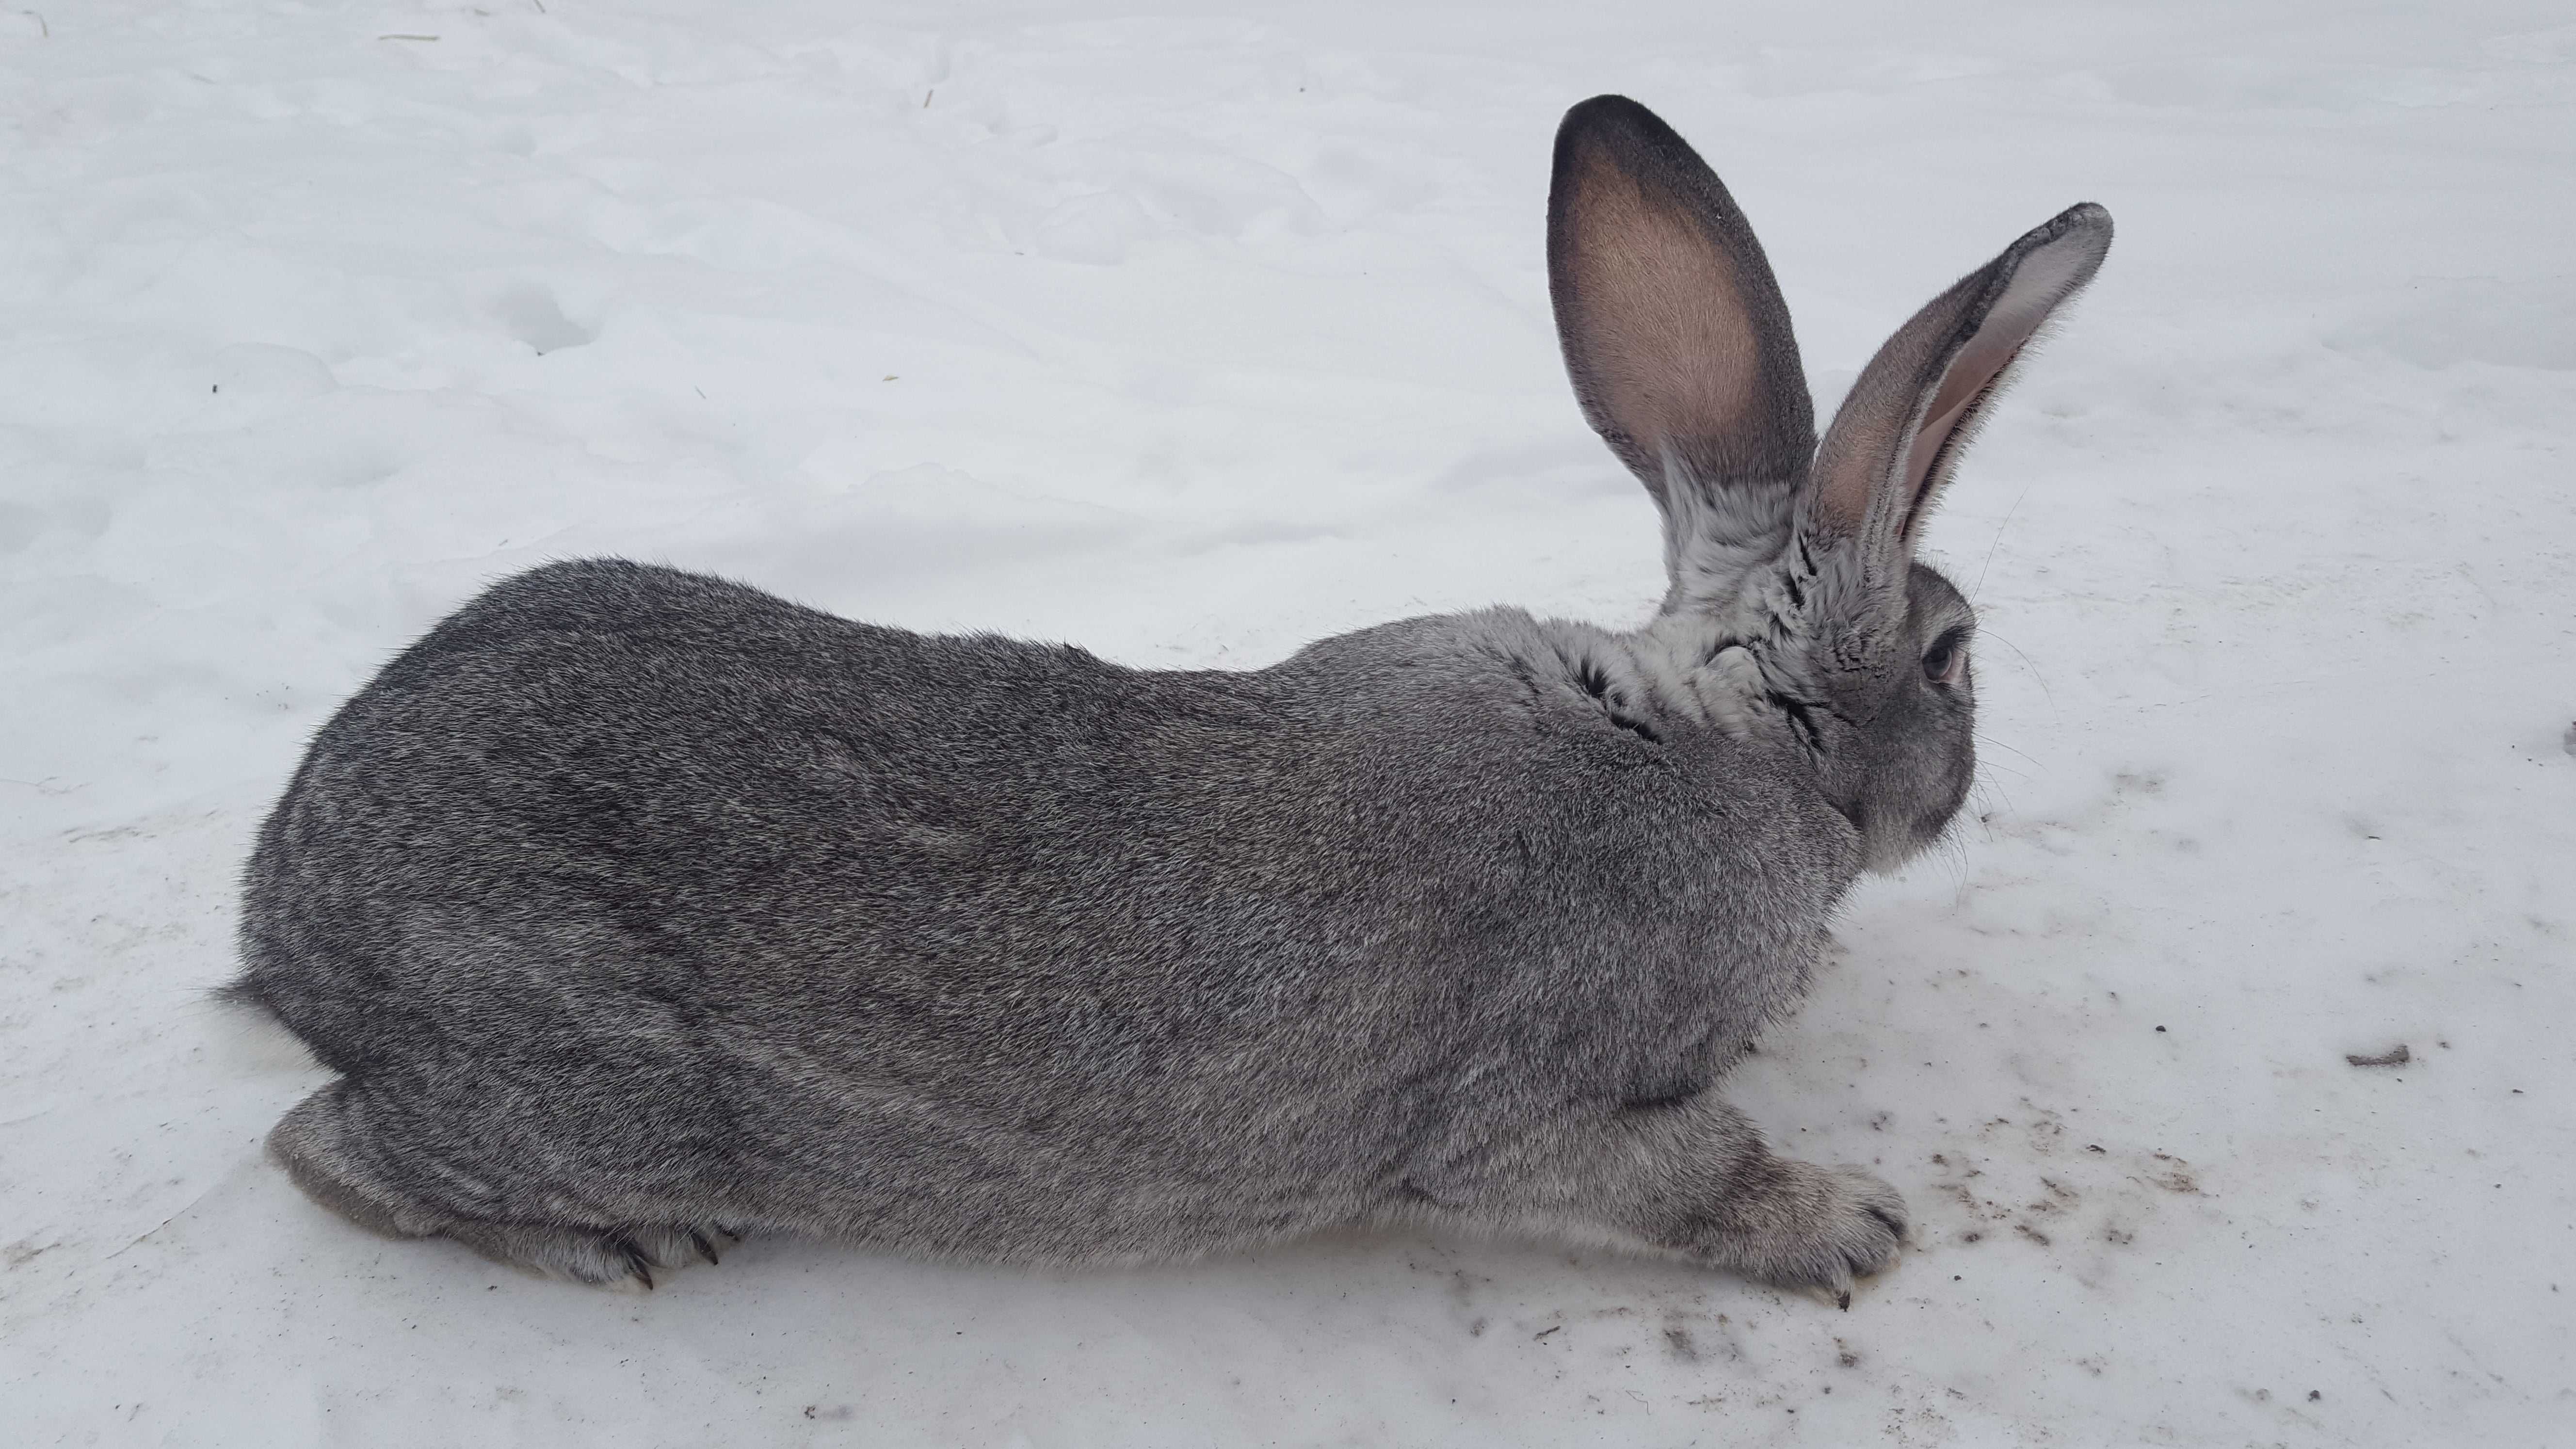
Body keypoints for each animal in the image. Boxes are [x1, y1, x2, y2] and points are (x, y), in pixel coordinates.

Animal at [226, 98, 2112, 1299]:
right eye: (1952, 654)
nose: (1952, 791)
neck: (1723, 736)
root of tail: (285, 915)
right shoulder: (1532, 1108)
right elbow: (1674, 1167)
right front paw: (1848, 1226)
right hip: (585, 1096)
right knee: (325, 1152)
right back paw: (614, 1243)